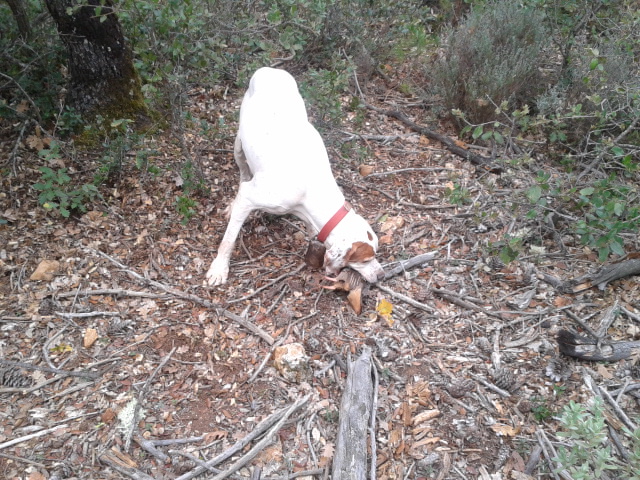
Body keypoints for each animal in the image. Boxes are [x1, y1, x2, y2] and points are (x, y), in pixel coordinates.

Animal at [208, 67, 382, 284]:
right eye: (366, 259)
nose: (382, 274)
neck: (311, 189)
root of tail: (269, 69)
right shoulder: (250, 197)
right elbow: (228, 240)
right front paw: (219, 269)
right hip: (239, 146)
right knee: (243, 175)